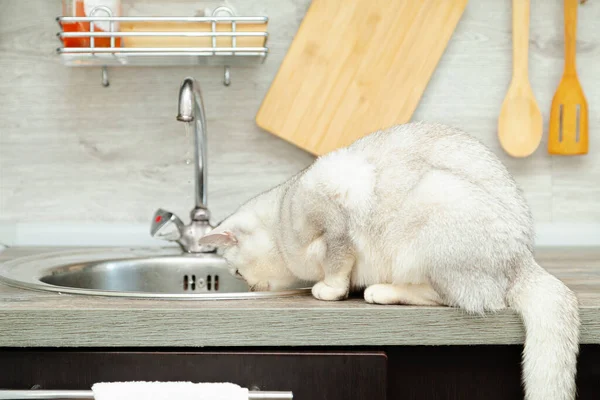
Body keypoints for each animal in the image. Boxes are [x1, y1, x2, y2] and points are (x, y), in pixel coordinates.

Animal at [199, 122, 580, 400]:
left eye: (236, 271)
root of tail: (524, 258)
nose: (248, 286)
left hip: (433, 204)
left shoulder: (333, 209)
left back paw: (381, 291)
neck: (282, 213)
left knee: (452, 297)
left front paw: (329, 289)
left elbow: (337, 262)